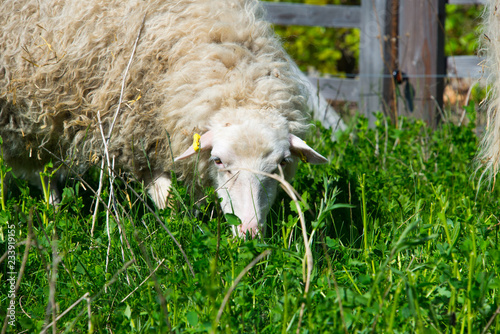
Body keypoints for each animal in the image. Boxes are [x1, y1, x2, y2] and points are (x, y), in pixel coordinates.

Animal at [0, 0, 328, 237]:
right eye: (218, 161)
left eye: (282, 164)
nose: (250, 231)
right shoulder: (136, 135)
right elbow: (168, 201)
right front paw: (180, 234)